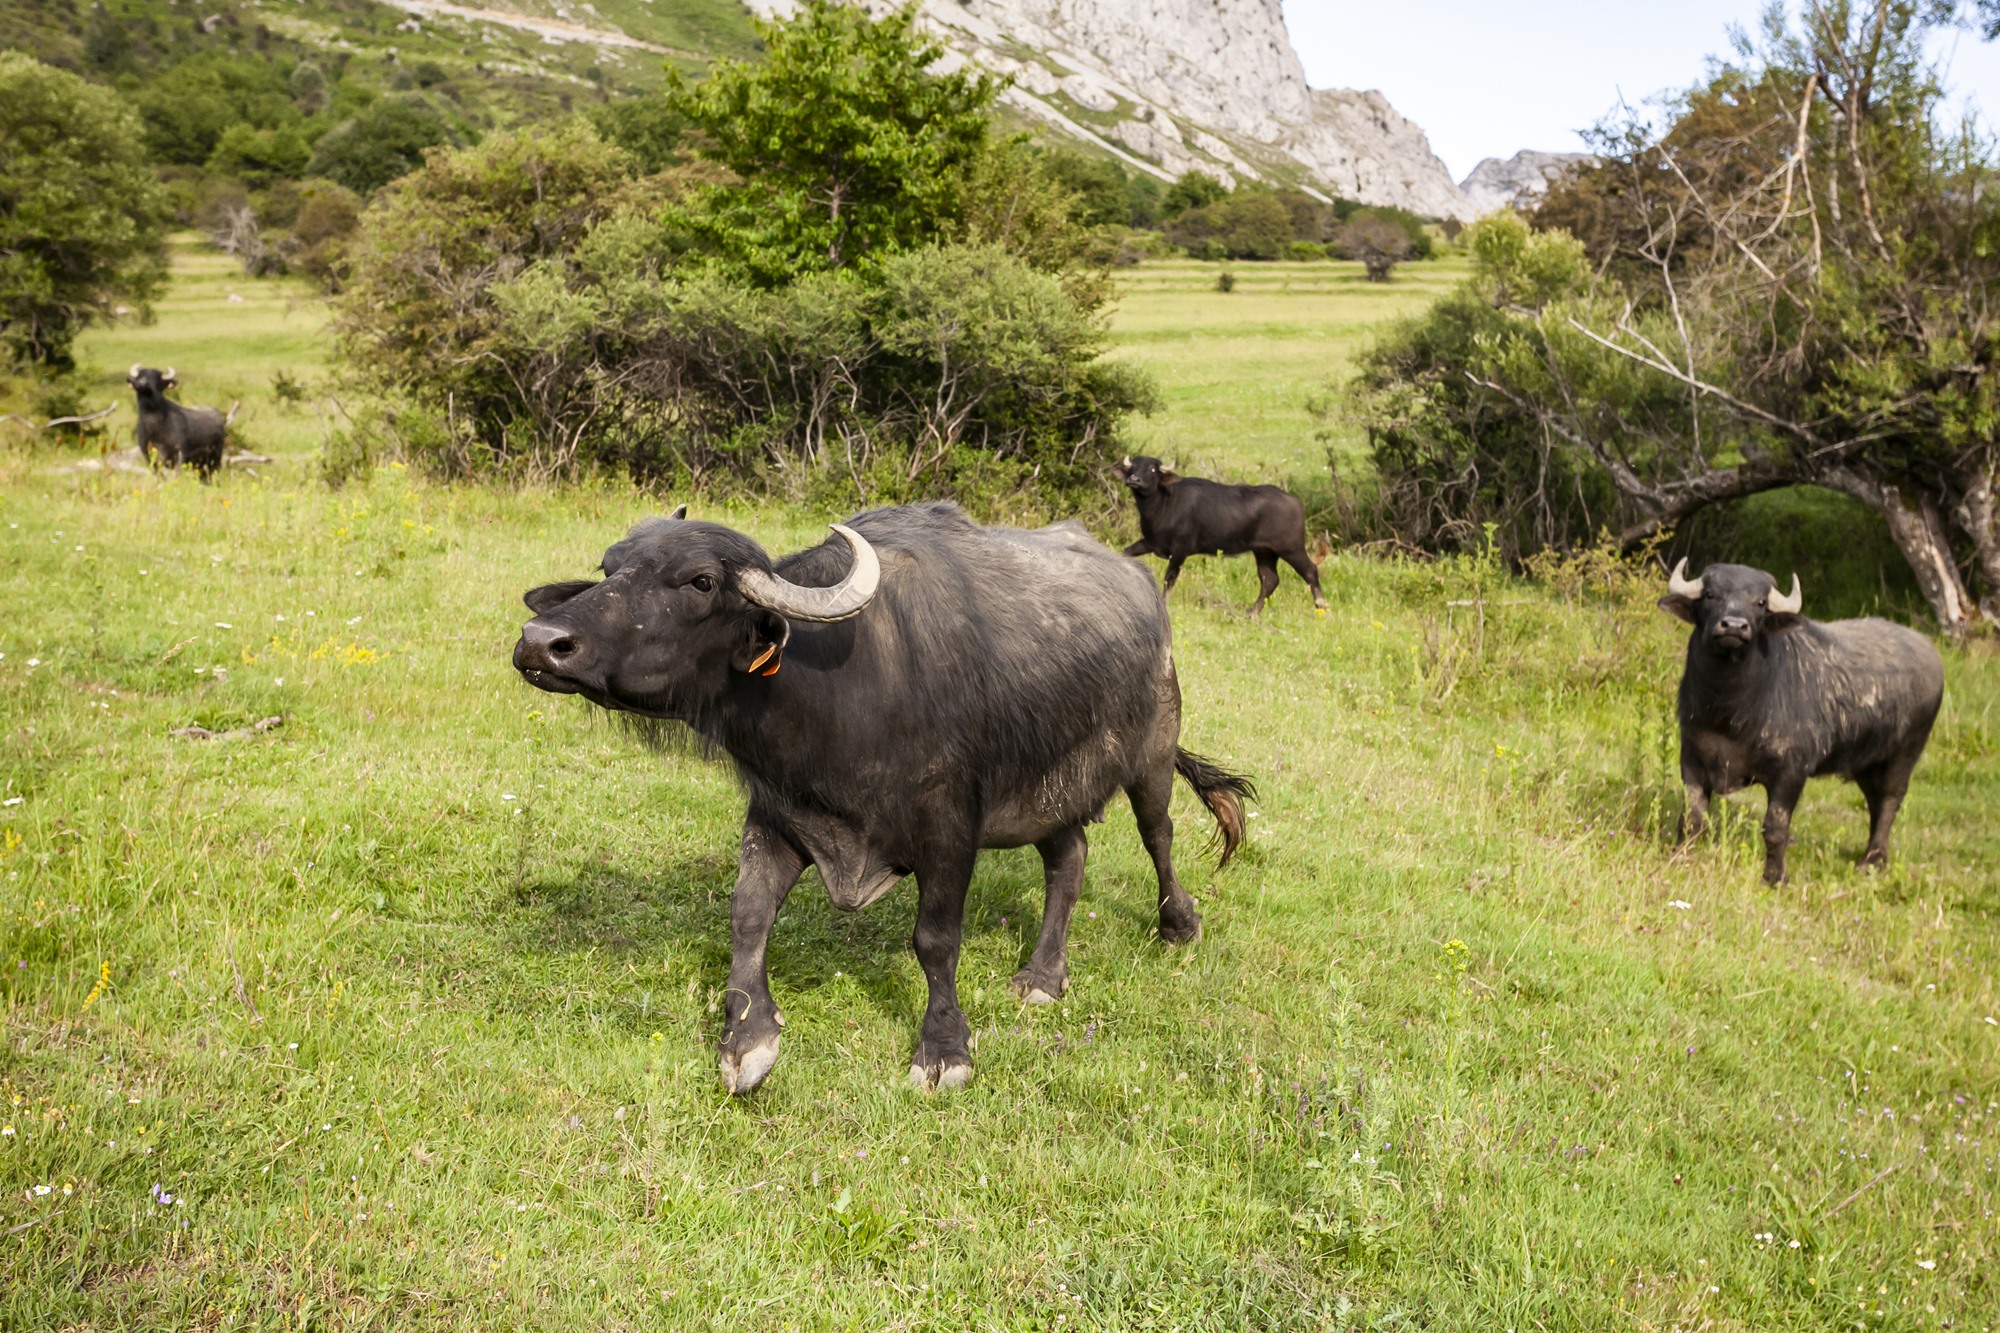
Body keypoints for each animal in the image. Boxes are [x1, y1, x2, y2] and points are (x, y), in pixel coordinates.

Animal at [524, 498, 1256, 1088]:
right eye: (610, 566)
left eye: (701, 581)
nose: (539, 641)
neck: (845, 688)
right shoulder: (781, 813)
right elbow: (748, 914)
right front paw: (747, 1038)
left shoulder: (950, 825)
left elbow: (934, 938)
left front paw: (944, 1050)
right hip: (1048, 789)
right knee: (1068, 858)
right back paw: (1044, 976)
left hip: (1153, 750)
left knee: (1157, 833)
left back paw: (1178, 924)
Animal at [1112, 448, 1328, 608]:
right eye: (1133, 467)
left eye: (1153, 470)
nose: (1134, 480)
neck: (1163, 504)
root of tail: (1296, 502)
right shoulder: (1151, 542)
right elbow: (1126, 553)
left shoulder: (1180, 550)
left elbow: (1169, 578)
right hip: (1264, 551)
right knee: (1269, 579)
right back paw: (1252, 613)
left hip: (1291, 548)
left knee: (1310, 570)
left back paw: (1321, 604)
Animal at [1664, 556, 1944, 880]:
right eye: (1710, 594)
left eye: (1760, 602)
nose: (1734, 625)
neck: (1728, 713)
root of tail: (1930, 654)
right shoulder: (1692, 759)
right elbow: (1692, 818)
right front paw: (1681, 858)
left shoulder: (1791, 771)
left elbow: (1775, 827)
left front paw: (1775, 876)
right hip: (1867, 764)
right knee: (1875, 802)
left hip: (1904, 756)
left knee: (1889, 801)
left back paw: (1872, 861)